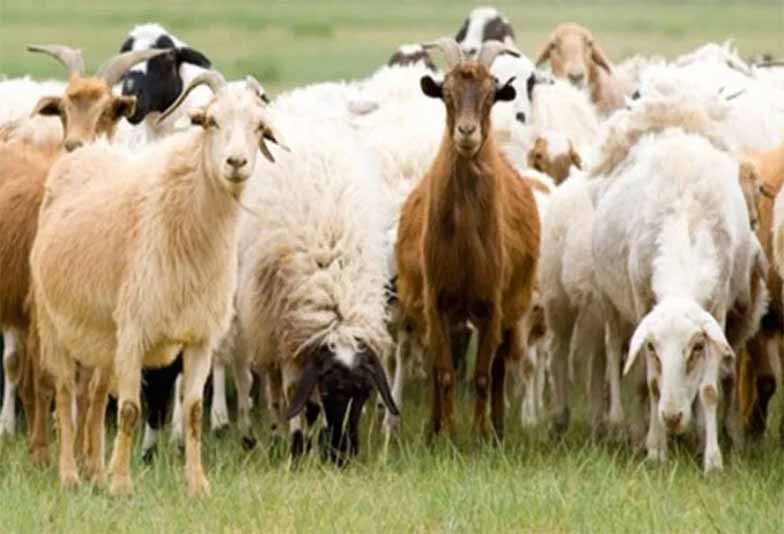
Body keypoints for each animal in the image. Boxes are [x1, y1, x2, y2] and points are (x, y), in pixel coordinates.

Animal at [0, 45, 166, 459]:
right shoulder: (41, 310)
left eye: (109, 111)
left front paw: (89, 455)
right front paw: (44, 452)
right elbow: (46, 380)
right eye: (62, 109)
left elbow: (91, 388)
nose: (76, 145)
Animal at [29, 70, 285, 496]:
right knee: (65, 394)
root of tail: (86, 151)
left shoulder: (200, 337)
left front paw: (197, 485)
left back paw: (94, 472)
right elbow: (131, 410)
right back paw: (70, 475)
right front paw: (121, 484)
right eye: (210, 121)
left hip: (104, 337)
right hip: (54, 325)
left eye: (259, 127)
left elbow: (194, 410)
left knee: (94, 397)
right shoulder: (135, 331)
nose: (236, 162)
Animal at [235, 115, 397, 463]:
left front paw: (320, 446)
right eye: (329, 388)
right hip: (266, 328)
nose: (343, 455)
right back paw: (278, 436)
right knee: (275, 394)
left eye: (364, 393)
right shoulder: (288, 336)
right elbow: (297, 398)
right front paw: (298, 450)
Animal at [396, 39, 540, 439]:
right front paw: (444, 433)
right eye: (446, 94)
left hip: (511, 308)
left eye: (491, 95)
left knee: (499, 368)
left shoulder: (492, 304)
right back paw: (433, 427)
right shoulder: (436, 301)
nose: (467, 133)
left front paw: (482, 435)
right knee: (436, 369)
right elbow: (444, 373)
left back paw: (499, 427)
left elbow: (482, 375)